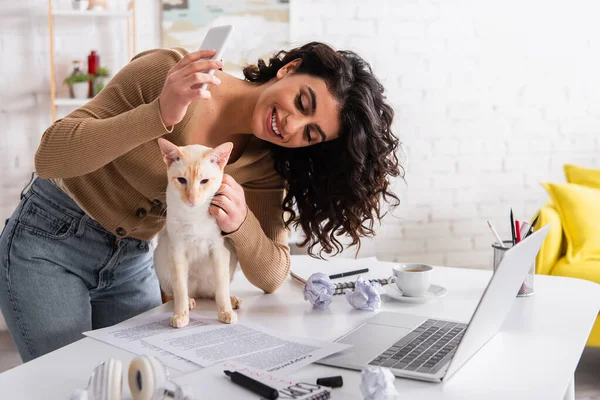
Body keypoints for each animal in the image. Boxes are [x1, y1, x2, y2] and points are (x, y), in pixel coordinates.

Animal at [154, 138, 240, 328]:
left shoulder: (219, 249)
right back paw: (189, 302)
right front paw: (181, 315)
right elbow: (180, 289)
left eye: (204, 181)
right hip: (161, 259)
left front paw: (225, 312)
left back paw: (231, 301)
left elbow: (221, 289)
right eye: (182, 180)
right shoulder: (177, 252)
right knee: (180, 292)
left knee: (215, 291)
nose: (192, 199)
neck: (195, 215)